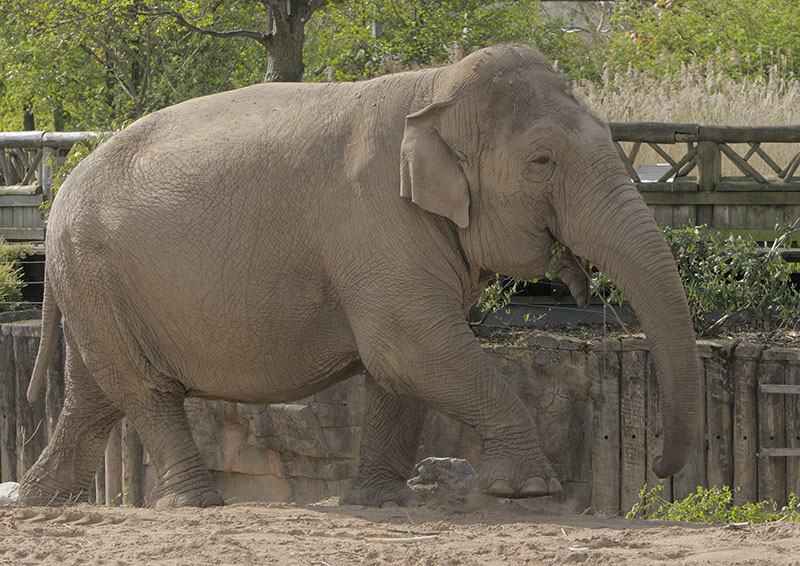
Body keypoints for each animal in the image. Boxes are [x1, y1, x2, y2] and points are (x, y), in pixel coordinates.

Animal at [21, 44, 700, 509]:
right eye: (542, 161)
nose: (659, 469)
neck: (435, 89)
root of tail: (59, 200)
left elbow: (398, 367)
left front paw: (378, 502)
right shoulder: (377, 222)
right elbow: (410, 346)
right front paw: (529, 492)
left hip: (94, 286)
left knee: (93, 393)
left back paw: (43, 502)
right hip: (96, 273)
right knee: (145, 390)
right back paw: (196, 504)